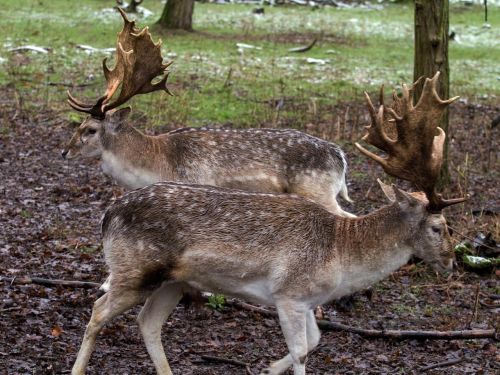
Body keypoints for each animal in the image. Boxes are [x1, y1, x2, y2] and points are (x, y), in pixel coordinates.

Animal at [62, 8, 352, 217]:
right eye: (79, 123)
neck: (158, 164)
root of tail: (340, 158)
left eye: (91, 129)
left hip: (317, 190)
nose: (65, 151)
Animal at [69, 72, 464, 374]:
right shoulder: (288, 293)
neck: (341, 255)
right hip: (136, 269)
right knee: (98, 311)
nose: (451, 261)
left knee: (147, 322)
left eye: (88, 130)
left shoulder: (304, 300)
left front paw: (268, 368)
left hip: (172, 281)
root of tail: (108, 216)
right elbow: (303, 352)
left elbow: (315, 341)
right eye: (437, 226)